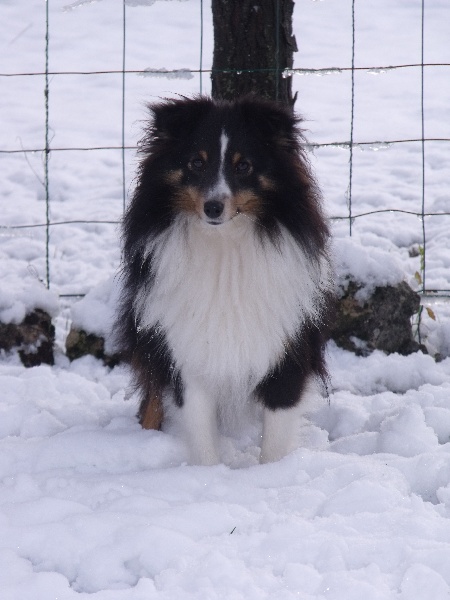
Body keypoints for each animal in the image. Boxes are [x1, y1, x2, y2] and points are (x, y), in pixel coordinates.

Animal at [116, 96, 334, 466]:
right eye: (195, 162)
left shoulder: (285, 349)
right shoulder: (187, 353)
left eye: (243, 165)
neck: (225, 246)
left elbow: (275, 437)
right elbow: (200, 431)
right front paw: (208, 473)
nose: (213, 208)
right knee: (152, 396)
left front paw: (271, 472)